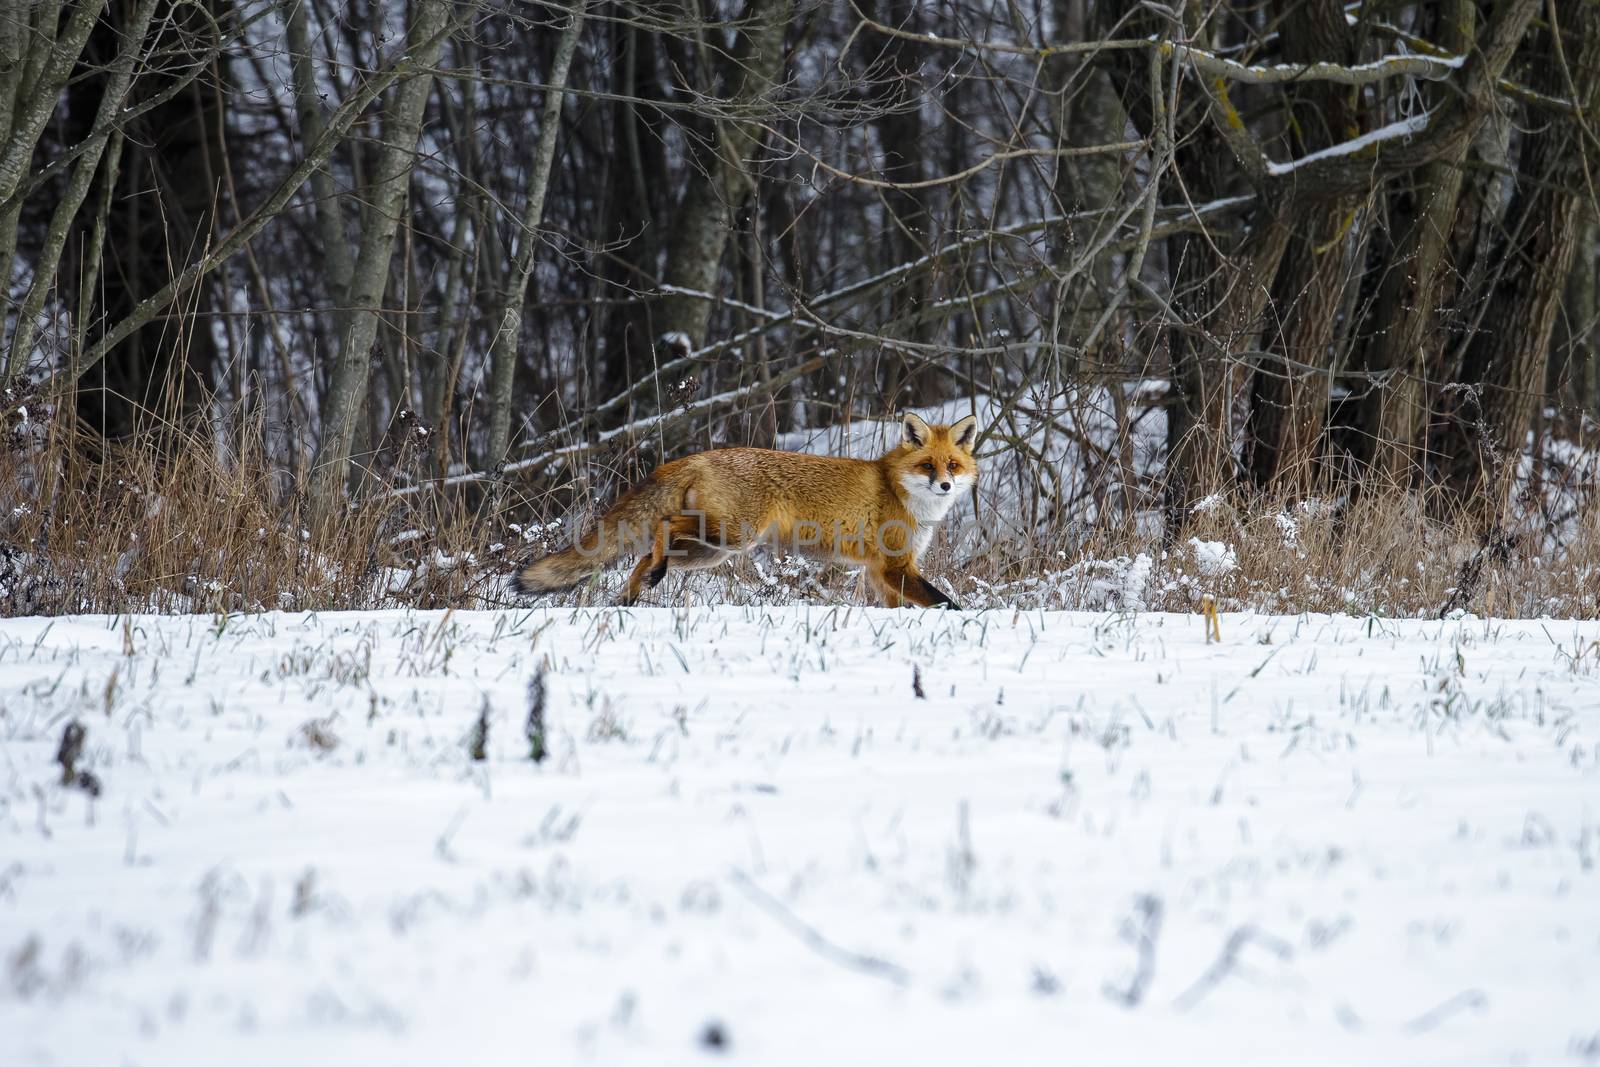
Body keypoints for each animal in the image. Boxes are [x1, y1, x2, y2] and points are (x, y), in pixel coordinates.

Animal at [512, 412, 979, 607]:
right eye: (928, 465)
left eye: (953, 465)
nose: (945, 485)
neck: (897, 490)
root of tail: (697, 457)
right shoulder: (895, 566)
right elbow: (946, 604)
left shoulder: (884, 573)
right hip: (731, 535)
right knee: (664, 524)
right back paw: (642, 583)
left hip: (709, 551)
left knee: (646, 553)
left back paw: (630, 595)